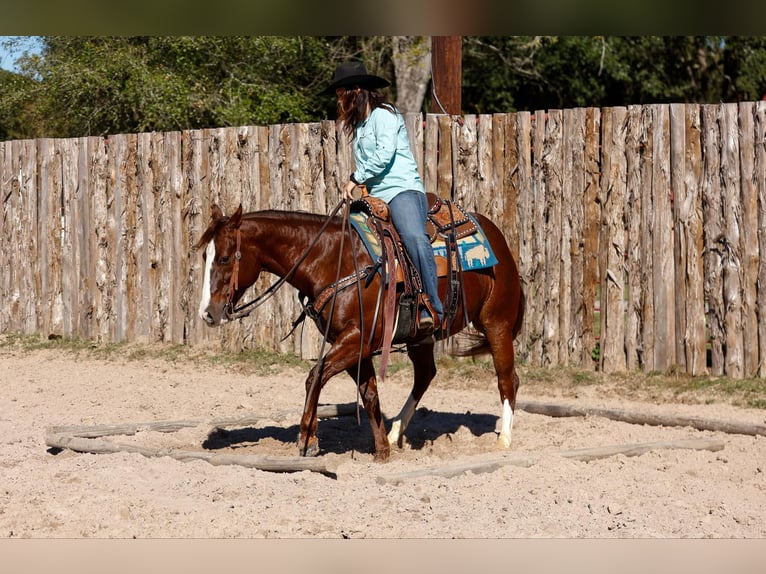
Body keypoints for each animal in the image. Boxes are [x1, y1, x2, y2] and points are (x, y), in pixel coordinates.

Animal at [196, 197, 525, 461]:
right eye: (205, 256)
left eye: (224, 258)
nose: (207, 313)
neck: (333, 260)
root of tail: (497, 237)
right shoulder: (359, 345)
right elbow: (369, 393)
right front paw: (381, 450)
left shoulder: (355, 340)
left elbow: (315, 376)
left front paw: (308, 439)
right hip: (422, 338)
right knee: (425, 375)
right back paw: (395, 433)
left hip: (497, 322)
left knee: (507, 379)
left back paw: (505, 440)